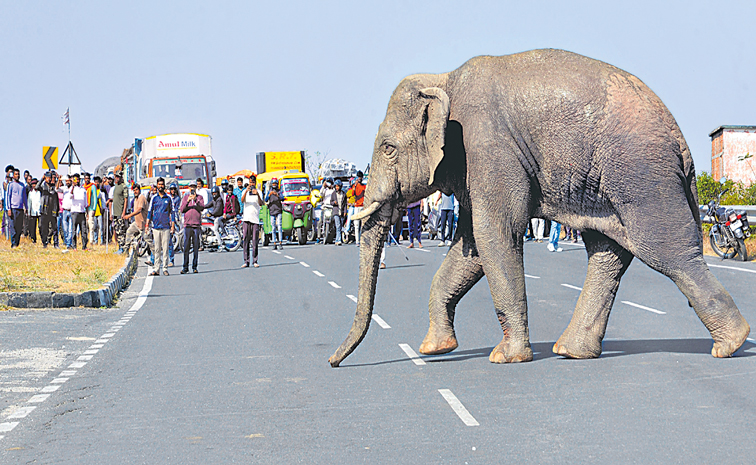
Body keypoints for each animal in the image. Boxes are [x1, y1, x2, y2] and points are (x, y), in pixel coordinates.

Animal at [328, 49, 750, 368]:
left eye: (388, 148)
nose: (333, 362)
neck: (444, 78)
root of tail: (682, 142)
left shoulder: (488, 148)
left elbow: (496, 234)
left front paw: (505, 358)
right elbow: (471, 247)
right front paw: (435, 348)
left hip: (641, 175)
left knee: (667, 252)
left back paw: (730, 344)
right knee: (608, 252)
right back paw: (573, 351)